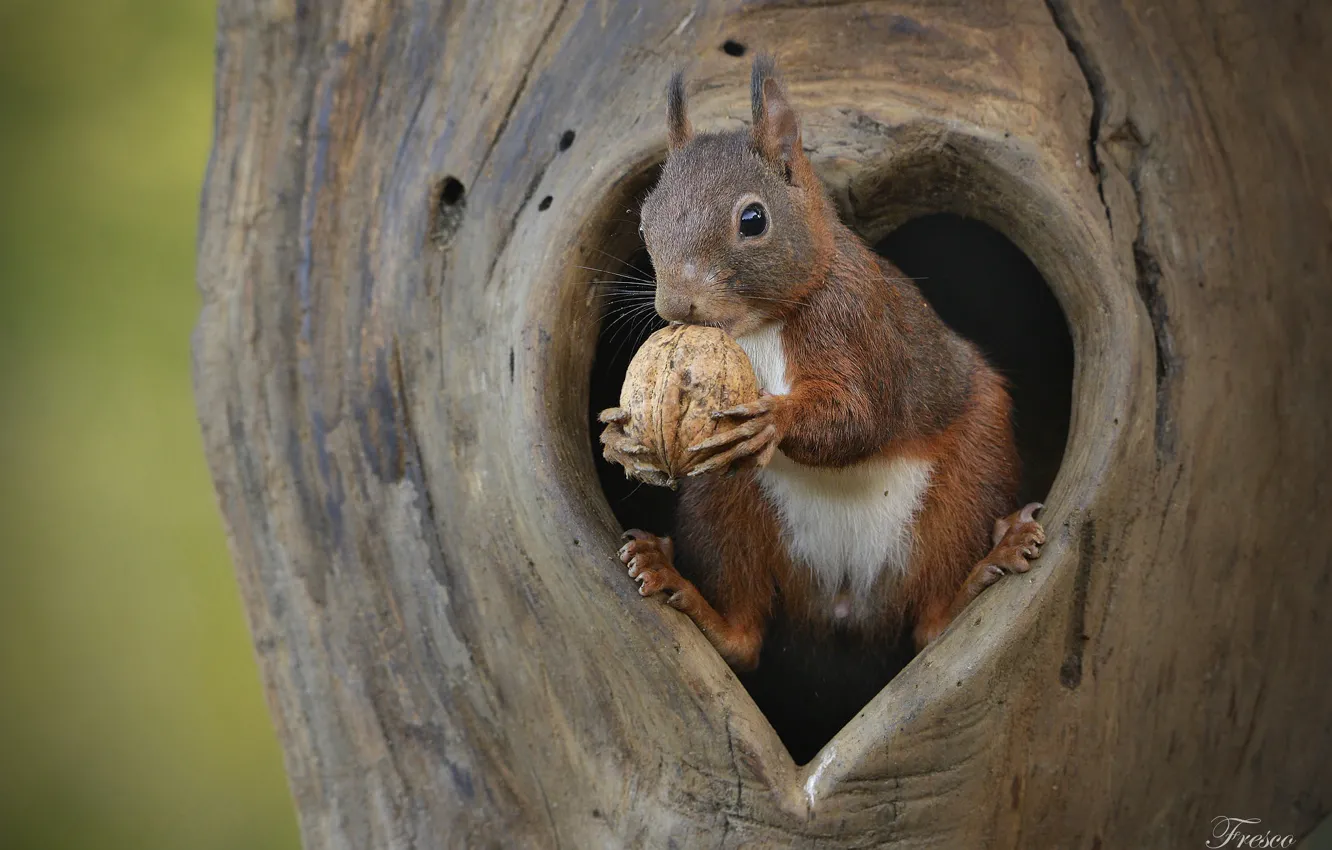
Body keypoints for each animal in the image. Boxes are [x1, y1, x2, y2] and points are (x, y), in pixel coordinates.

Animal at [599, 56, 1044, 676]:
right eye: (644, 221)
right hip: (725, 503)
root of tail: (843, 598)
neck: (759, 328)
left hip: (971, 475)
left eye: (753, 219)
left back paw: (988, 566)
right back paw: (679, 587)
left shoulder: (860, 325)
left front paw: (772, 420)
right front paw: (620, 434)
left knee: (933, 623)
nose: (676, 306)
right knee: (744, 635)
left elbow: (862, 418)